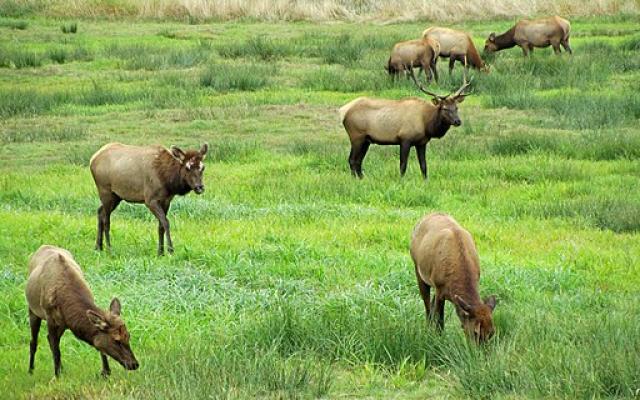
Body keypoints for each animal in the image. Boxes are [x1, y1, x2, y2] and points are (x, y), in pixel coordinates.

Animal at [26, 244, 140, 378]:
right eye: (116, 340)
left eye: (128, 336)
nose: (134, 364)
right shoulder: (50, 318)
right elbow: (55, 349)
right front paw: (57, 376)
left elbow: (99, 345)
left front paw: (106, 372)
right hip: (33, 310)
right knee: (34, 342)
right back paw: (31, 370)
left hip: (61, 324)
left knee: (50, 339)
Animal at [340, 71, 470, 179]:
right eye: (444, 108)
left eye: (456, 107)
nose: (458, 121)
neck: (426, 124)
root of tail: (344, 111)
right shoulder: (405, 139)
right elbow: (403, 164)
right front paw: (401, 180)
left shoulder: (422, 142)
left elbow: (423, 165)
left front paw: (425, 181)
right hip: (356, 136)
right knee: (352, 160)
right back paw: (355, 180)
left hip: (366, 140)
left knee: (358, 161)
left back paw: (362, 178)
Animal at [412, 212, 498, 344]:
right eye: (475, 331)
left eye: (492, 333)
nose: (480, 350)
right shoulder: (439, 288)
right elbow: (440, 320)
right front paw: (439, 339)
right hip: (418, 269)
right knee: (427, 305)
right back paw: (428, 329)